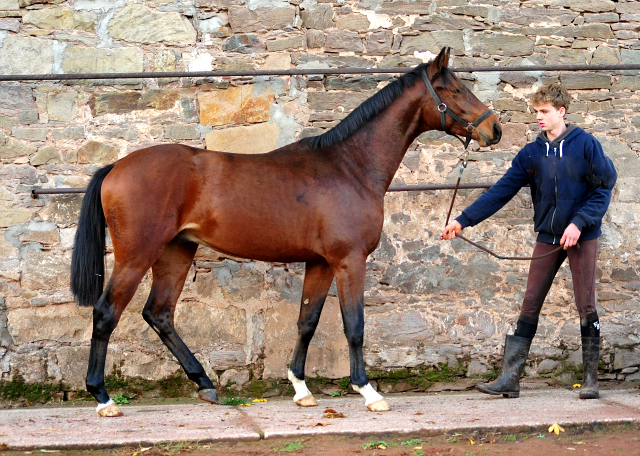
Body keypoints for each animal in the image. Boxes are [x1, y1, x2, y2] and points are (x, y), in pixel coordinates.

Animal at [70, 49, 500, 416]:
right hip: (138, 254)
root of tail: (116, 167)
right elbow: (354, 325)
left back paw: (205, 383)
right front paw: (368, 391)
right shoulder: (349, 261)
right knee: (107, 313)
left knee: (159, 314)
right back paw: (103, 397)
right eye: (455, 89)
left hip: (176, 251)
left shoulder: (321, 263)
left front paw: (301, 389)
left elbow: (307, 322)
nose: (494, 129)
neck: (349, 167)